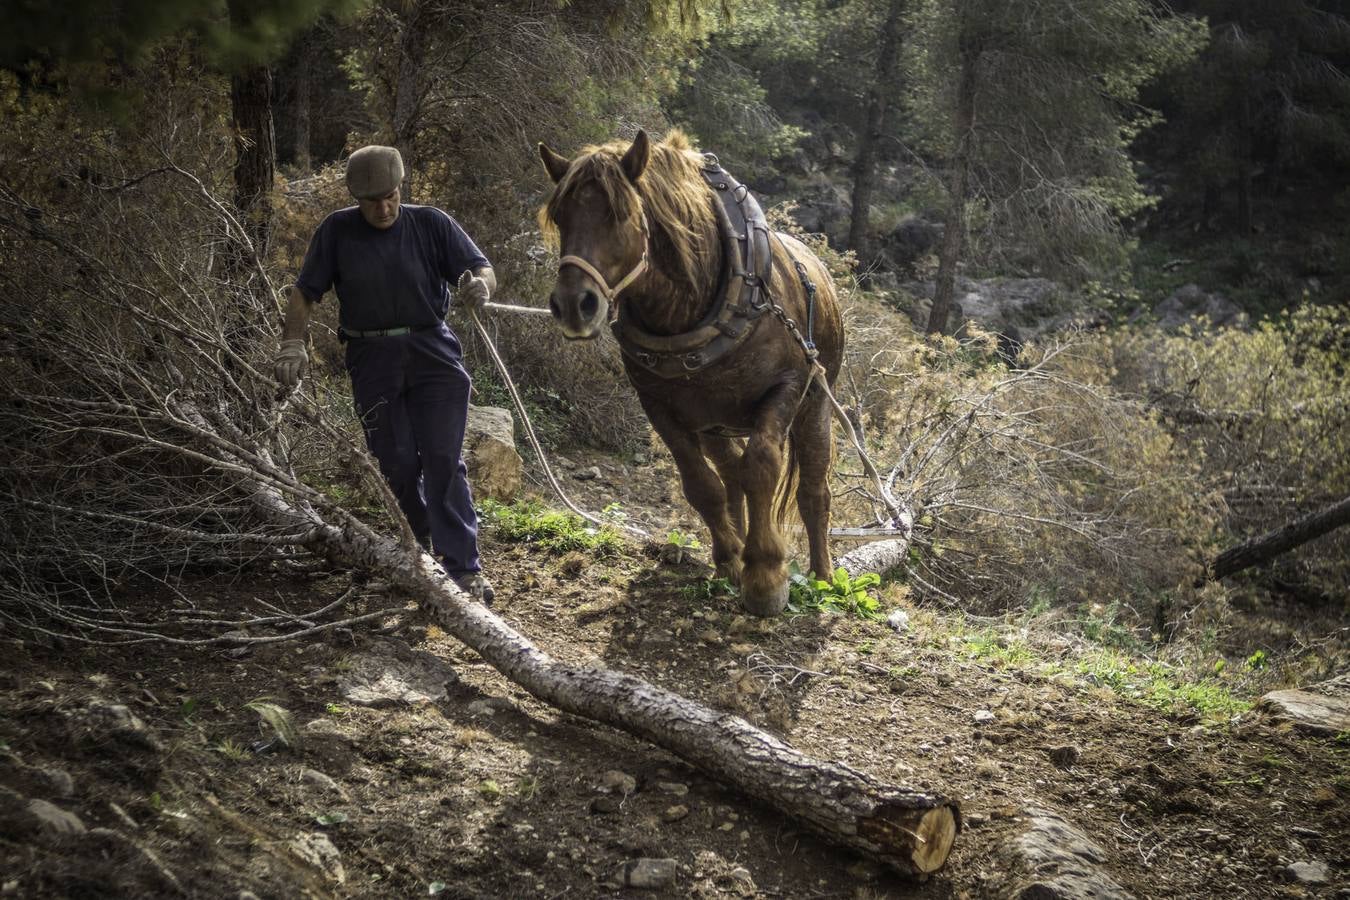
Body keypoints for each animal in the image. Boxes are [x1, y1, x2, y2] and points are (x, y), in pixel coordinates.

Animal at [537, 128, 842, 620]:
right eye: (561, 217)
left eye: (622, 214)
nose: (572, 305)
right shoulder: (660, 406)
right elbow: (702, 485)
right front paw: (730, 560)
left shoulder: (786, 388)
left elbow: (763, 467)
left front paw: (766, 575)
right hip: (716, 421)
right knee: (731, 474)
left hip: (815, 403)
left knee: (814, 489)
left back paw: (822, 576)